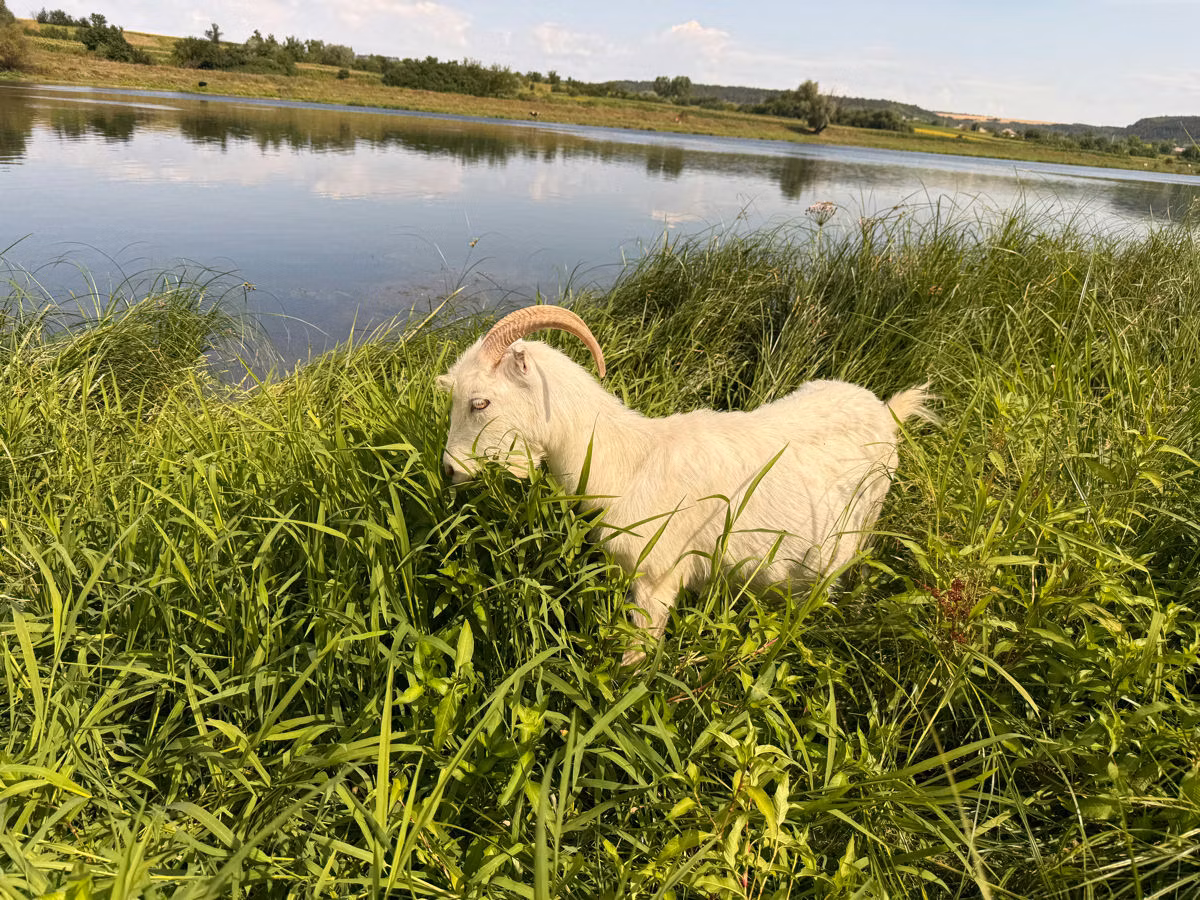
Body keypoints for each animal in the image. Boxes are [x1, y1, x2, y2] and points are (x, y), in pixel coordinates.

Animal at [438, 306, 935, 664]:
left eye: (479, 402)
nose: (448, 470)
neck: (630, 459)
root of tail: (886, 410)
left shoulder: (658, 578)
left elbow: (636, 658)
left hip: (867, 519)